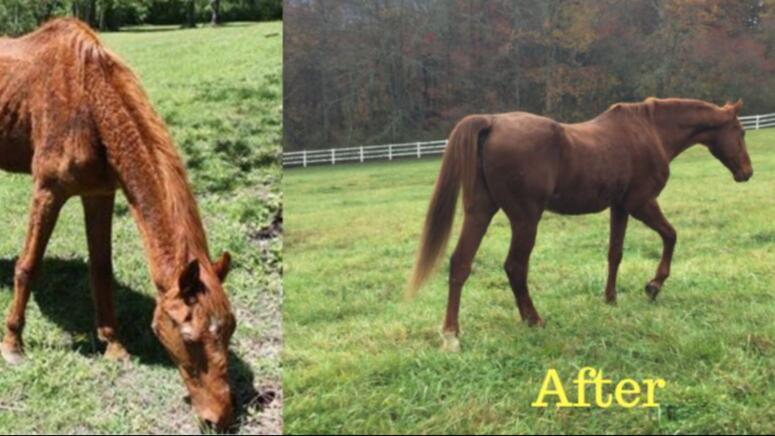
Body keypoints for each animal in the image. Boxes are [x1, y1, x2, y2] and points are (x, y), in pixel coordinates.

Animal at [0, 18, 236, 428]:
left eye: (231, 329)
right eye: (190, 338)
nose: (220, 418)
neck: (88, 100)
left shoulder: (99, 193)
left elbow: (101, 270)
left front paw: (113, 344)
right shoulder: (47, 191)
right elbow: (27, 267)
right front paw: (13, 345)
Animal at [410, 98, 756, 350]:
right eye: (741, 132)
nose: (747, 172)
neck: (651, 132)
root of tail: (491, 122)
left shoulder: (619, 207)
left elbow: (615, 253)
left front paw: (610, 298)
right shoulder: (641, 204)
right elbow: (671, 235)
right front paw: (654, 285)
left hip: (480, 211)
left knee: (461, 264)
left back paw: (451, 334)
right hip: (525, 219)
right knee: (515, 267)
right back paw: (533, 319)